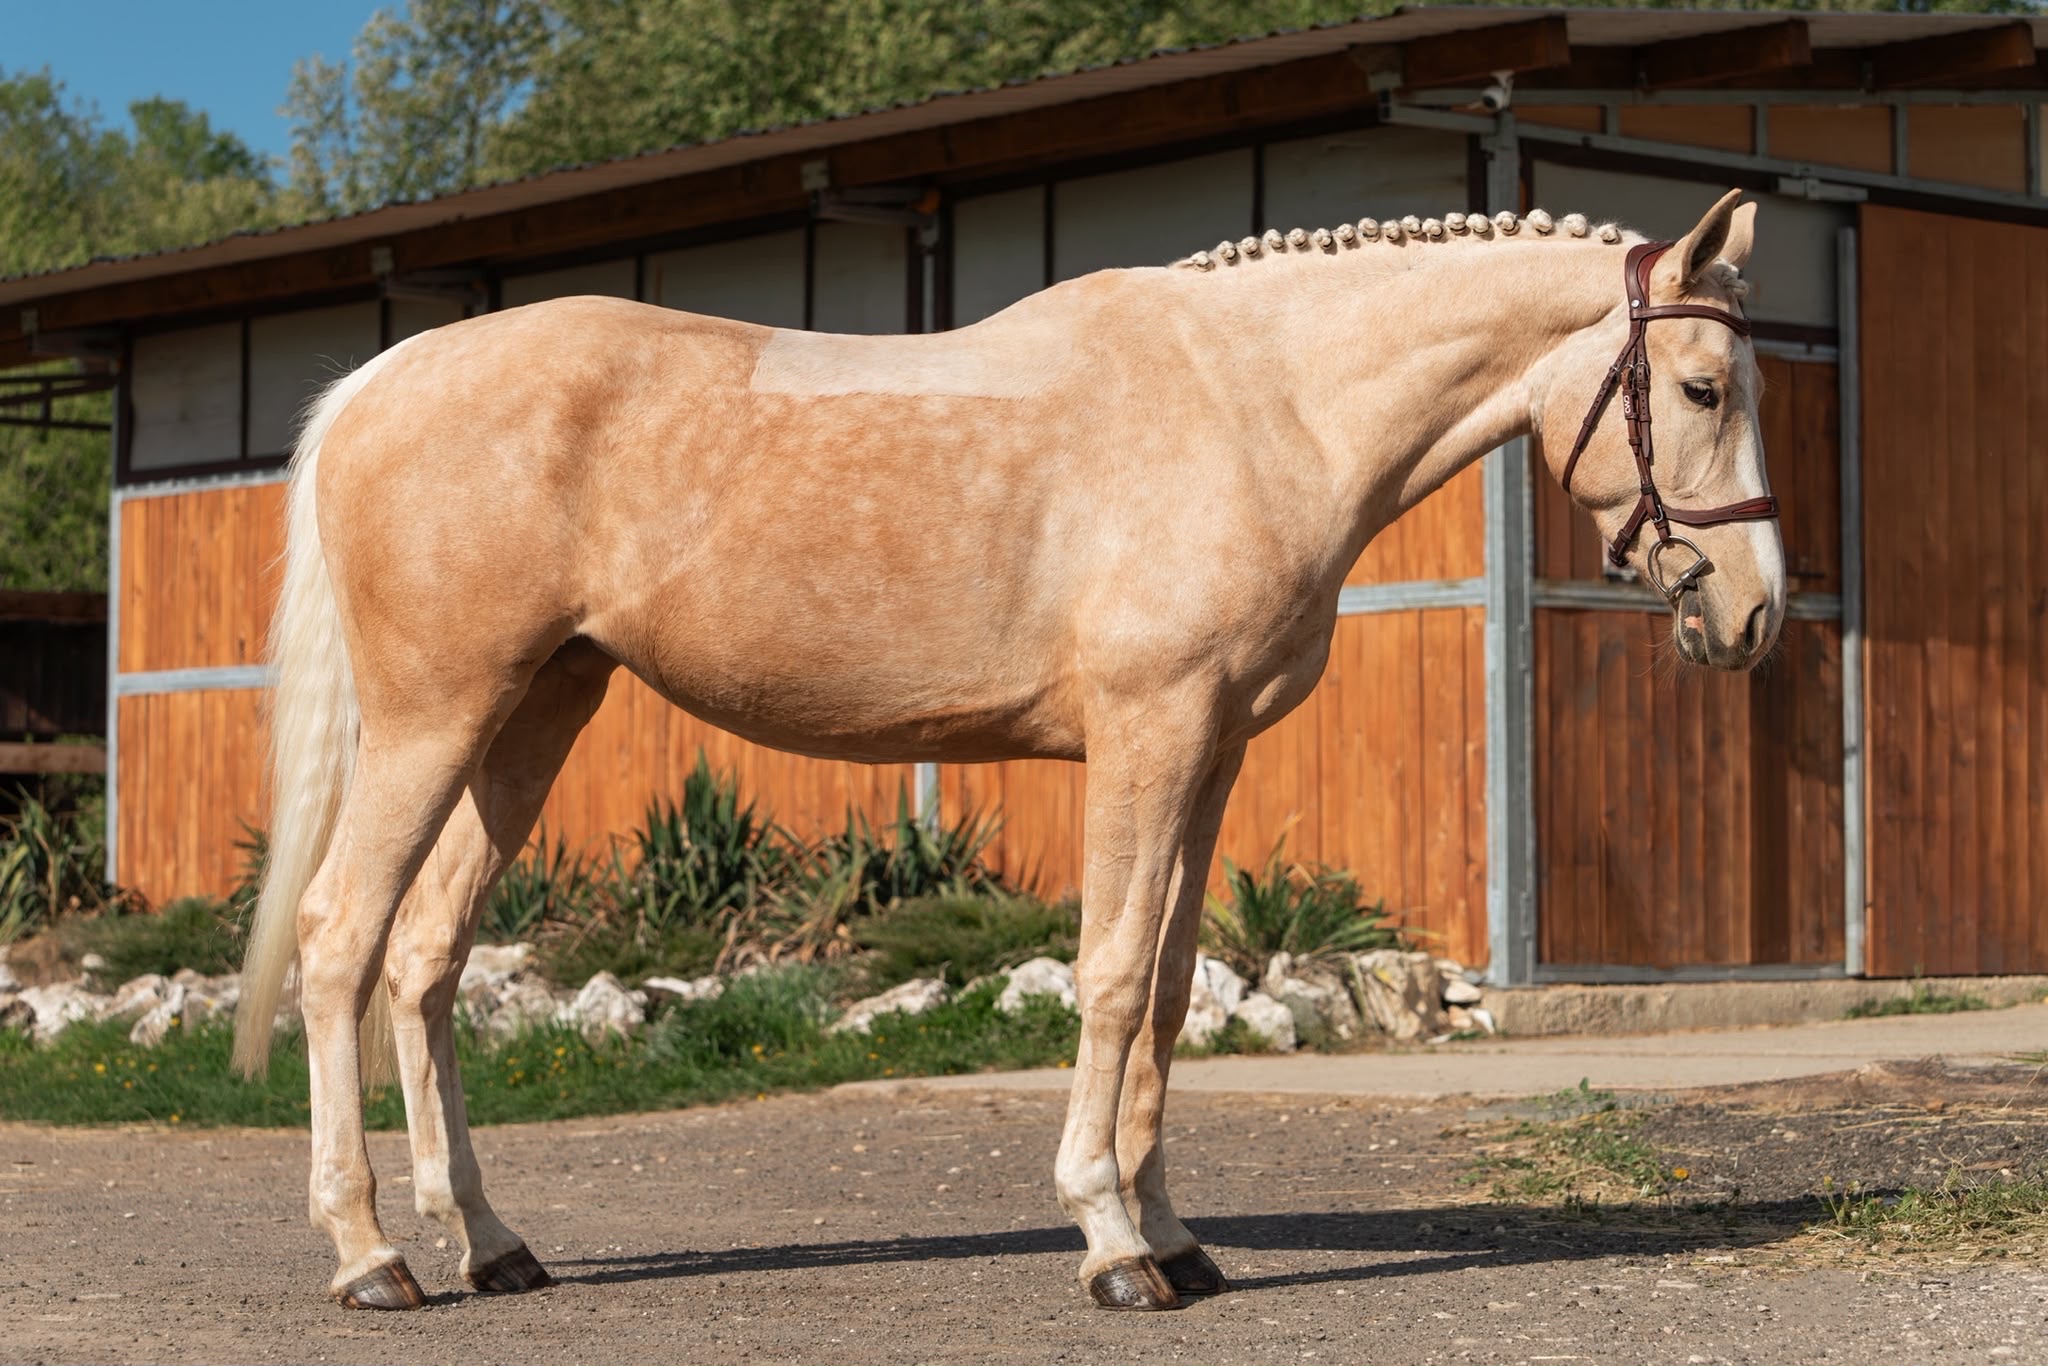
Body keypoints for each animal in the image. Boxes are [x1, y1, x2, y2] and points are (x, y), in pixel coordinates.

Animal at [231, 188, 1782, 1312]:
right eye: (1705, 388)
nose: (1756, 615)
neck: (1258, 402)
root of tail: (376, 380)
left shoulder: (1211, 753)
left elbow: (1169, 986)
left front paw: (1175, 1234)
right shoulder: (1148, 734)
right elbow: (1108, 977)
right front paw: (1110, 1242)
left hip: (534, 710)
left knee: (425, 957)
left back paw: (490, 1243)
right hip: (435, 714)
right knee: (341, 936)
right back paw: (370, 1258)